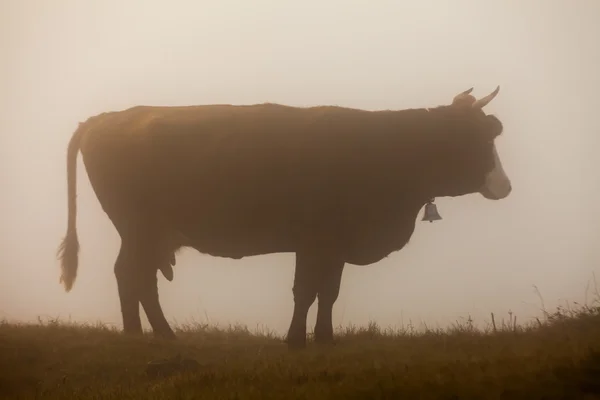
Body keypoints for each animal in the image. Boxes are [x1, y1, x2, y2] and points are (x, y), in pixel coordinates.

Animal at [56, 86, 510, 348]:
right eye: (481, 136)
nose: (505, 186)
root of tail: (107, 118)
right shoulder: (313, 239)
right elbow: (304, 291)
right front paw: (294, 341)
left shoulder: (335, 244)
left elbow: (329, 292)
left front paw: (325, 340)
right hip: (139, 227)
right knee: (131, 274)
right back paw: (151, 335)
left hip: (148, 232)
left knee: (136, 276)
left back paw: (150, 335)